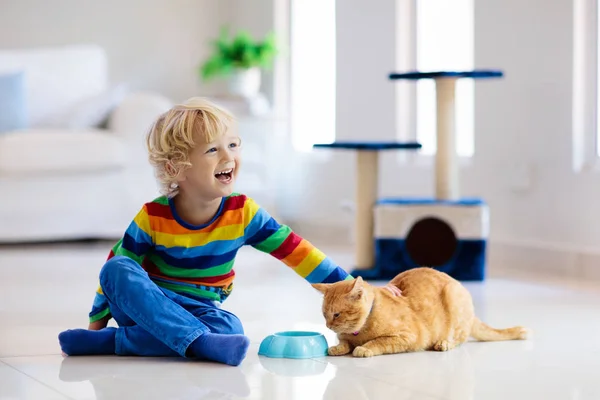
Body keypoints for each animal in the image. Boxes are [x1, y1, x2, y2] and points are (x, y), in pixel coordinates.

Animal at [314, 268, 528, 358]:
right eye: (324, 314)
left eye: (336, 315)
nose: (328, 326)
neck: (360, 331)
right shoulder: (345, 337)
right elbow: (344, 343)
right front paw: (338, 348)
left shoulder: (407, 336)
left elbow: (378, 341)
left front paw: (364, 348)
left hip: (454, 297)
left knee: (459, 338)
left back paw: (443, 343)